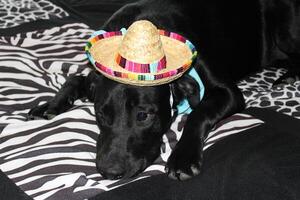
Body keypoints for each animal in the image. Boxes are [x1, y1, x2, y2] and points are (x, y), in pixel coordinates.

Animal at [28, 0, 300, 181]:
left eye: (144, 116)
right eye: (101, 114)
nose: (109, 172)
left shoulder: (228, 92)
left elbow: (198, 113)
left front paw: (183, 158)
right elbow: (74, 79)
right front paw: (49, 105)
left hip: (284, 28)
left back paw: (288, 76)